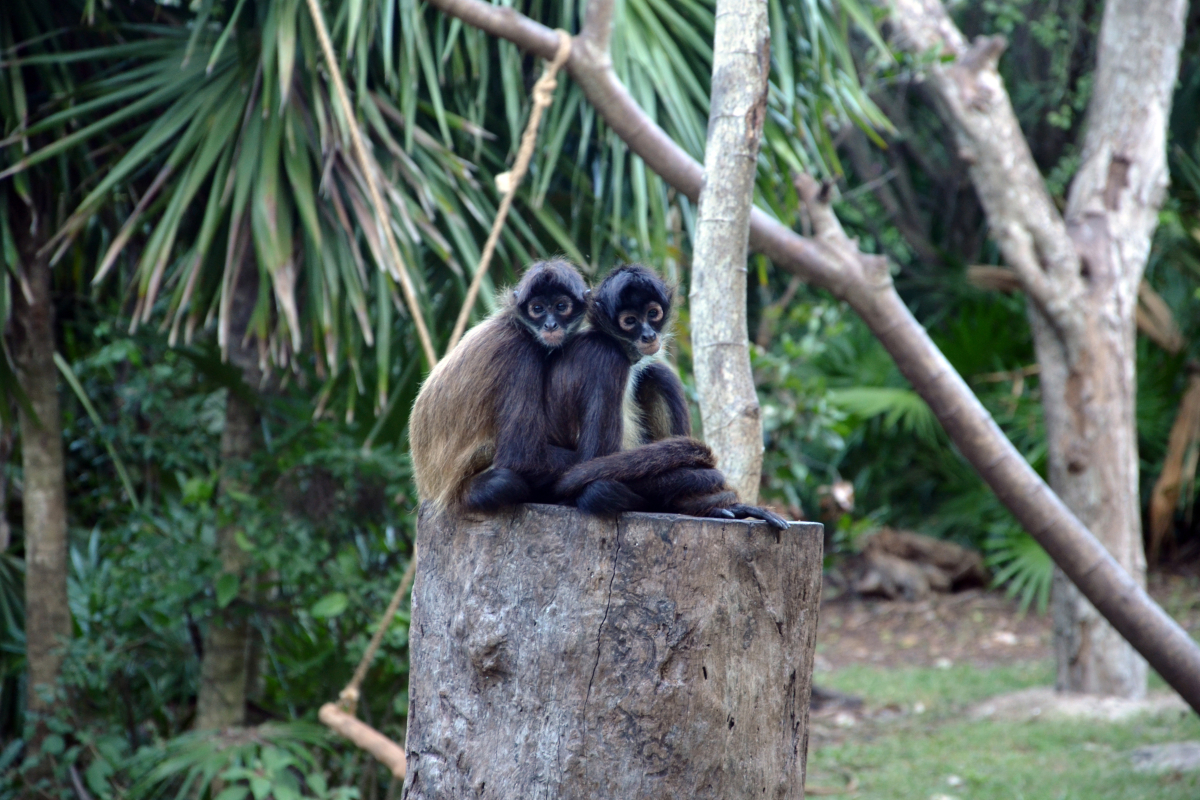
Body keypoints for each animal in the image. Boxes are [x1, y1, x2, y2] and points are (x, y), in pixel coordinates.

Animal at [409, 258, 589, 512]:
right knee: (505, 482)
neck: (518, 326)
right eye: (537, 309)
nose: (550, 325)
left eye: (561, 306)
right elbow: (520, 457)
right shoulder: (521, 354)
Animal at [544, 264, 787, 529]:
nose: (649, 335)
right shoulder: (606, 358)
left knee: (657, 374)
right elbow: (589, 468)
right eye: (630, 321)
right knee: (599, 491)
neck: (612, 341)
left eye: (653, 313)